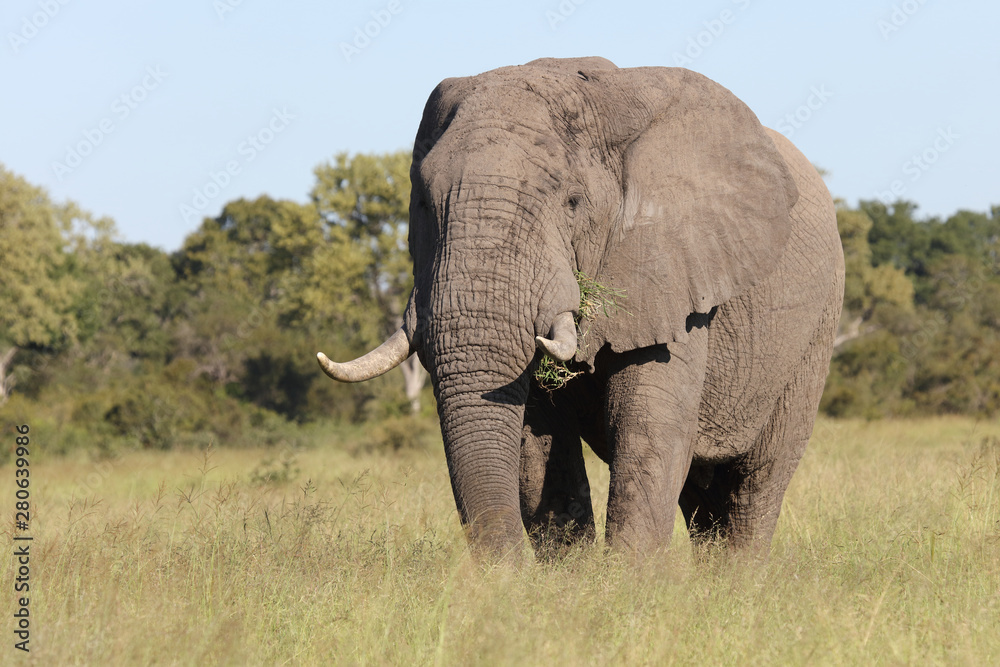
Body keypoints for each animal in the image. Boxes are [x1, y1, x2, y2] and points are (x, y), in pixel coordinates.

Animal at [317, 57, 845, 559]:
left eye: (572, 202)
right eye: (423, 204)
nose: (505, 579)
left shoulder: (672, 275)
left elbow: (648, 428)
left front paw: (627, 586)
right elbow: (538, 441)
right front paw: (569, 583)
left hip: (815, 333)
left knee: (757, 481)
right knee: (702, 494)